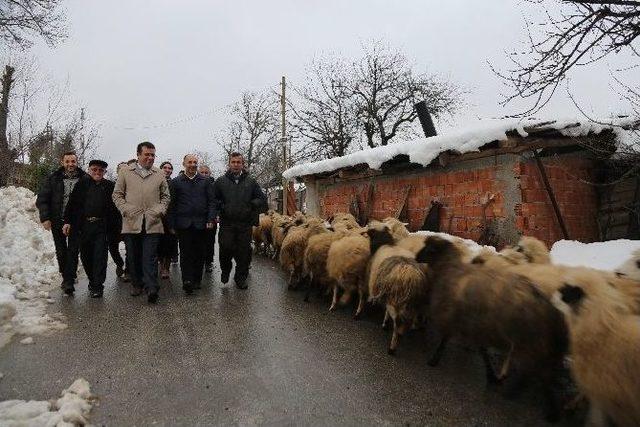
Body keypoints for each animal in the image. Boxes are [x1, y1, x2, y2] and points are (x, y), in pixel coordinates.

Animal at [418, 237, 568, 424]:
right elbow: (482, 351)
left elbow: (445, 340)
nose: (416, 257)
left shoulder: (454, 319)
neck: (449, 267)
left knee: (537, 373)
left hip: (530, 344)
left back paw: (521, 395)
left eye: (428, 249)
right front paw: (491, 375)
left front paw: (433, 360)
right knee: (542, 372)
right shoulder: (477, 327)